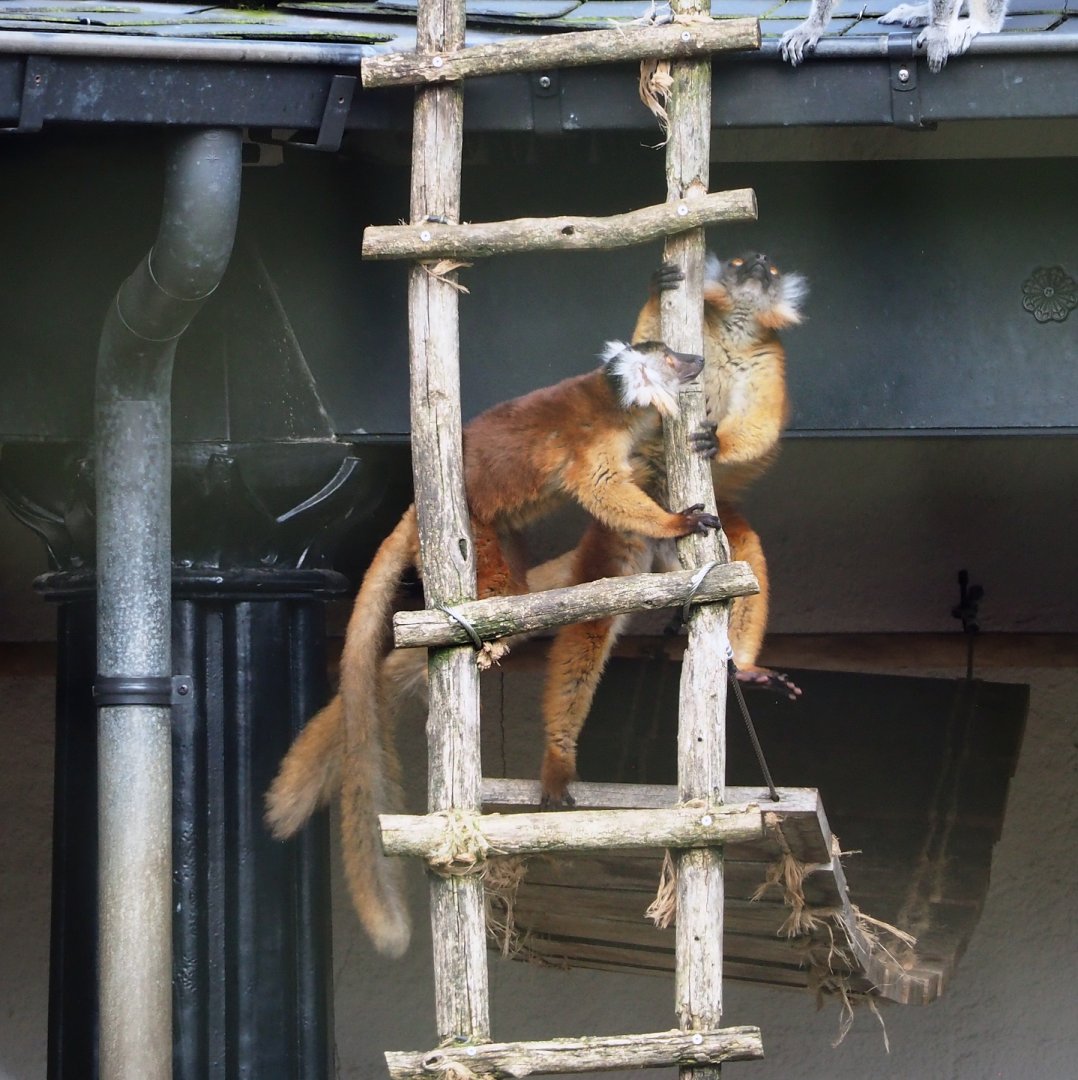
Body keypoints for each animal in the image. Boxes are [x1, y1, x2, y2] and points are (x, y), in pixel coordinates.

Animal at [265, 339, 721, 956]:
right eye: (672, 358)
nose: (696, 360)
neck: (615, 404)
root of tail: (418, 512)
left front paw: (708, 444)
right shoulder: (594, 445)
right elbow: (605, 490)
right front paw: (675, 521)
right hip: (471, 534)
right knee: (502, 590)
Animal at [537, 251, 807, 807]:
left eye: (769, 271)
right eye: (743, 261)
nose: (760, 261)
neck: (736, 328)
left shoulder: (770, 356)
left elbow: (762, 421)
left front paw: (718, 444)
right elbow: (641, 361)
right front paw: (657, 286)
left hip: (705, 526)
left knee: (743, 561)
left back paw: (746, 670)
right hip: (625, 527)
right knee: (591, 623)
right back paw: (557, 753)